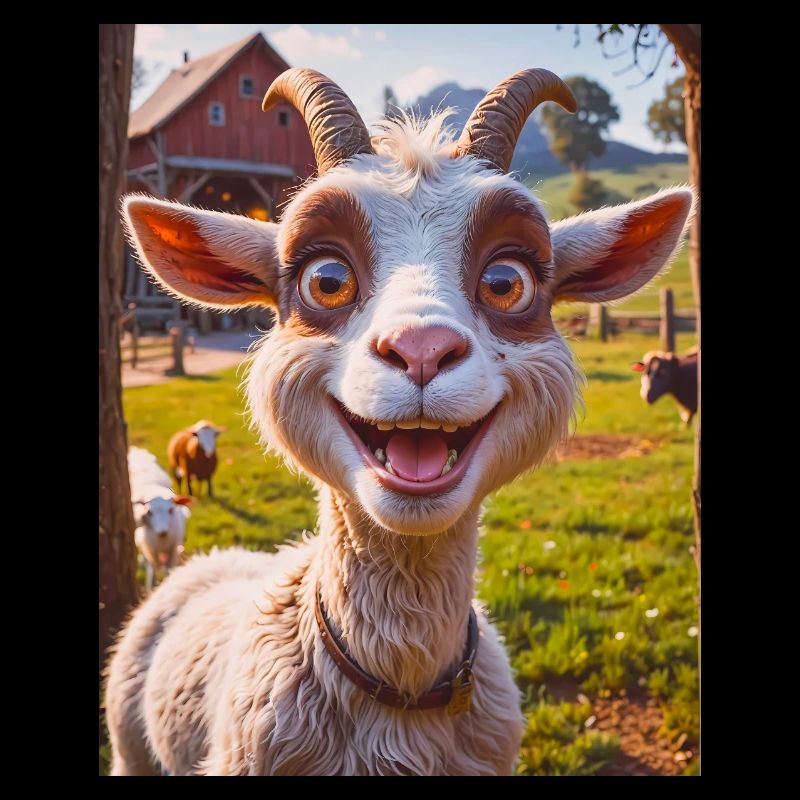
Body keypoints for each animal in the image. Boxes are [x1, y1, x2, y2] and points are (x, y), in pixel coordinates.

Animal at [128, 447, 192, 592]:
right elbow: (153, 568)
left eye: (171, 510)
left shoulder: (173, 548)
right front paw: (151, 586)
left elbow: (169, 569)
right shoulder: (151, 550)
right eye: (149, 512)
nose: (163, 532)